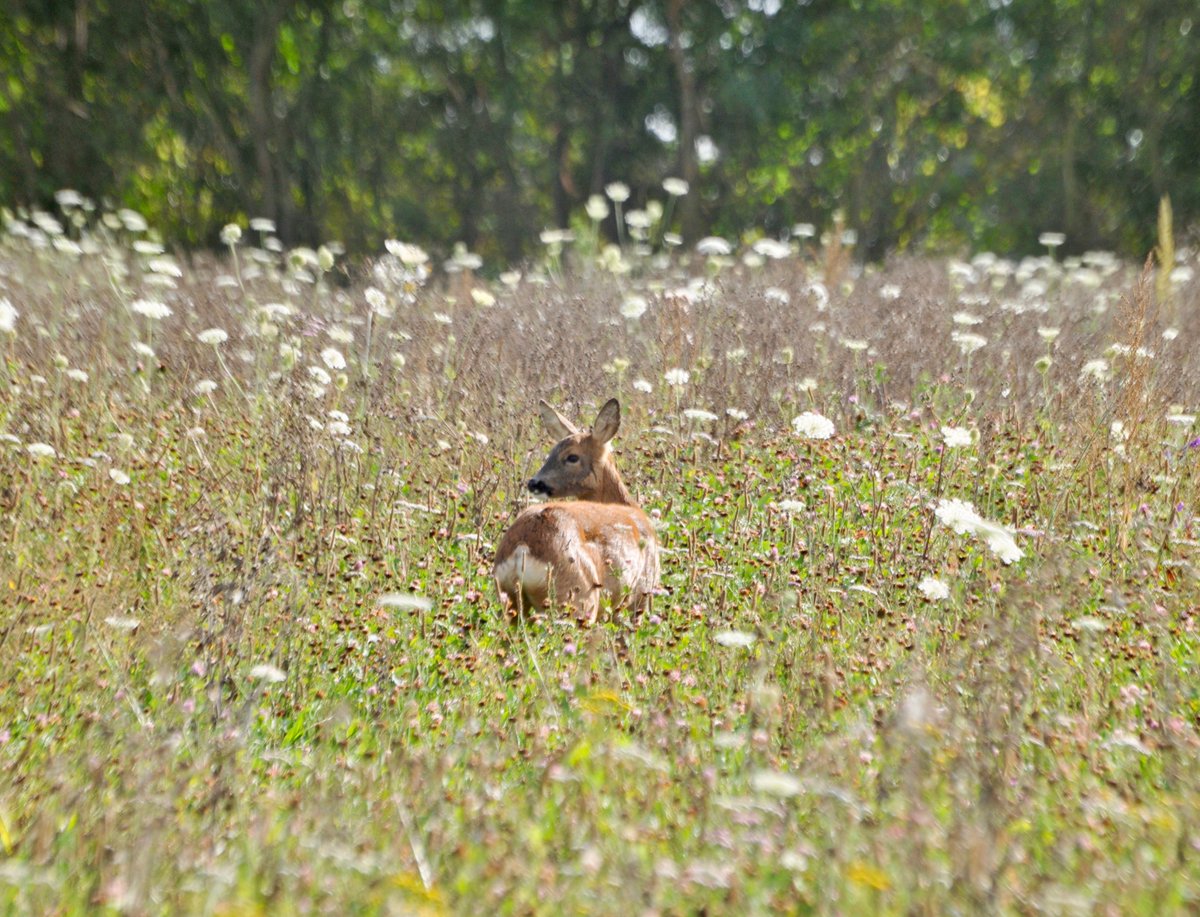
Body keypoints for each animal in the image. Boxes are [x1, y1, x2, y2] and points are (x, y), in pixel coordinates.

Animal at [493, 398, 660, 624]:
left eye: (572, 457)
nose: (534, 483)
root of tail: (522, 550)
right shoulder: (642, 592)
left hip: (510, 600)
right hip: (579, 596)